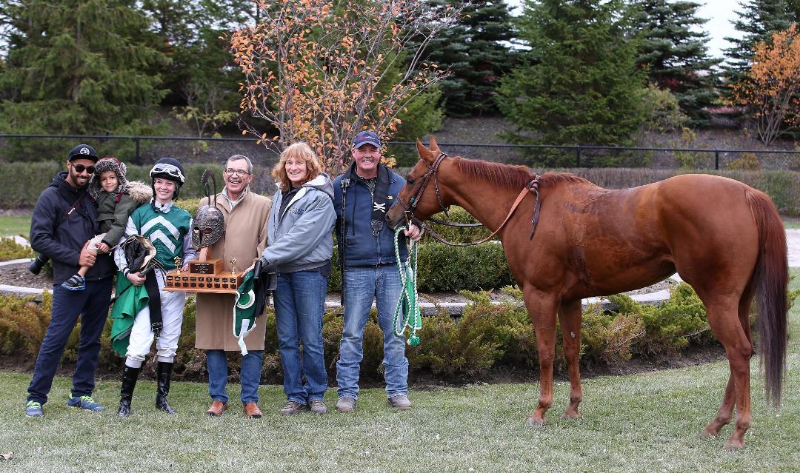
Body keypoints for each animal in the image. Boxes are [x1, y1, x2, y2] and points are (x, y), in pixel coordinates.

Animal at [385, 137, 788, 450]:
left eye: (412, 178)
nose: (390, 217)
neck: (527, 209)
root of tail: (749, 193)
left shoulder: (540, 295)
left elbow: (545, 353)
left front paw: (540, 410)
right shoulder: (569, 298)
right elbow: (571, 350)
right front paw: (572, 408)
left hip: (717, 300)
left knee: (739, 354)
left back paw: (737, 432)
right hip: (737, 302)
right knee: (740, 355)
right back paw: (717, 425)